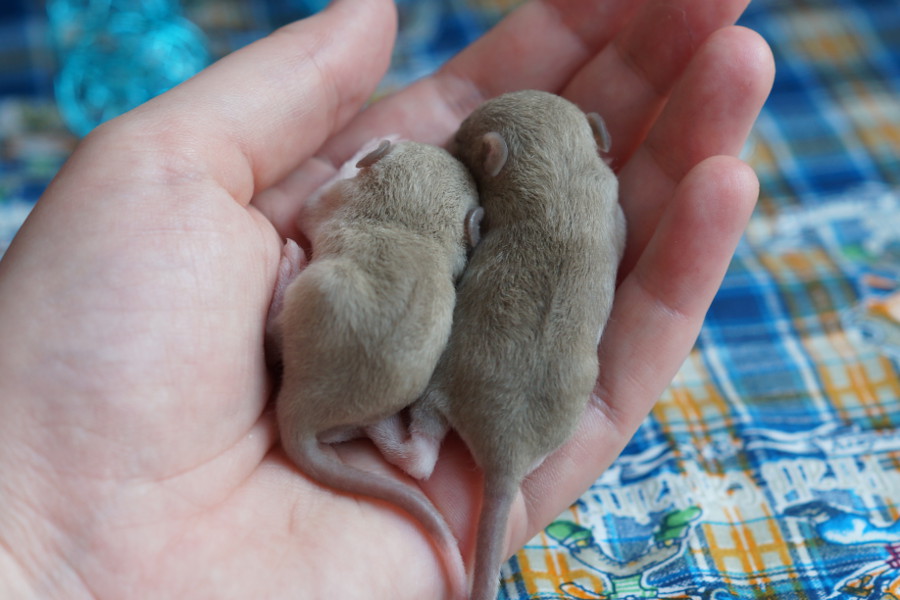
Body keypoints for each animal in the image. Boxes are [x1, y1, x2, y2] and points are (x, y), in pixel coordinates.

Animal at [270, 140, 481, 600]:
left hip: (311, 293)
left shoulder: (332, 201)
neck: (415, 210)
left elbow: (311, 205)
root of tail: (303, 406)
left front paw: (359, 153)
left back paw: (289, 264)